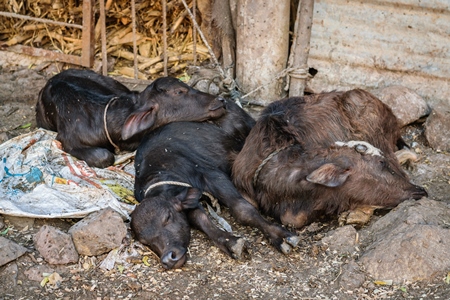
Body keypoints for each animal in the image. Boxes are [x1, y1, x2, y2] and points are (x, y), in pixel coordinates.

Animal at [130, 101, 298, 270]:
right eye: (145, 242)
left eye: (168, 217)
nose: (168, 258)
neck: (160, 167)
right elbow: (201, 219)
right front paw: (231, 243)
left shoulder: (212, 176)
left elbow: (242, 209)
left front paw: (281, 236)